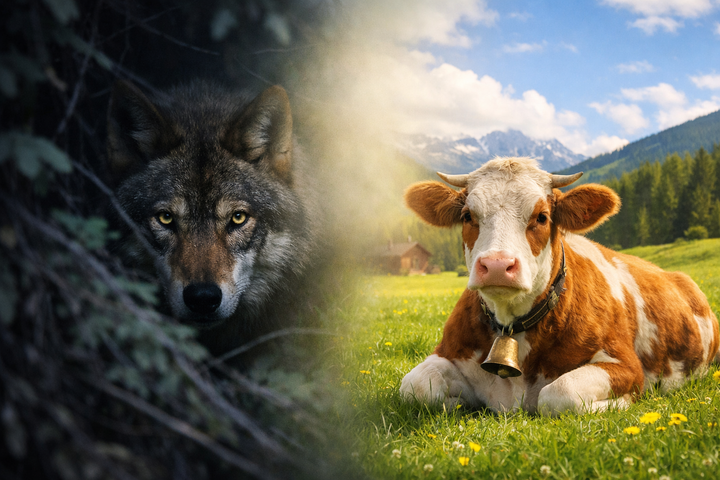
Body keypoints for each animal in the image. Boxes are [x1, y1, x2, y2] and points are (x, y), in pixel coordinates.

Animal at [399, 157, 720, 415]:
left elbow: (558, 394)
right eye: (468, 216)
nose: (497, 265)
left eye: (542, 217)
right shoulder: (448, 351)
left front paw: (620, 402)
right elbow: (415, 386)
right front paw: (458, 402)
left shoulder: (627, 366)